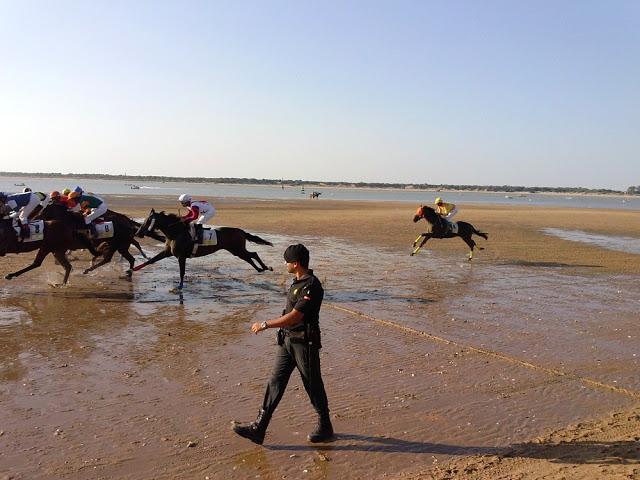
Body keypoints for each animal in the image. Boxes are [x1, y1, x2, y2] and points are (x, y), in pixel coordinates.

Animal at [134, 209, 274, 288]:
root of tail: (241, 231)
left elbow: (181, 272)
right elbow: (151, 260)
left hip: (237, 249)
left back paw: (266, 267)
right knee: (250, 256)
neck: (176, 232)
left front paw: (180, 286)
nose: (138, 233)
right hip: (236, 250)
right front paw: (132, 269)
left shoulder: (181, 256)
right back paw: (261, 269)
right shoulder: (167, 252)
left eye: (148, 221)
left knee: (253, 254)